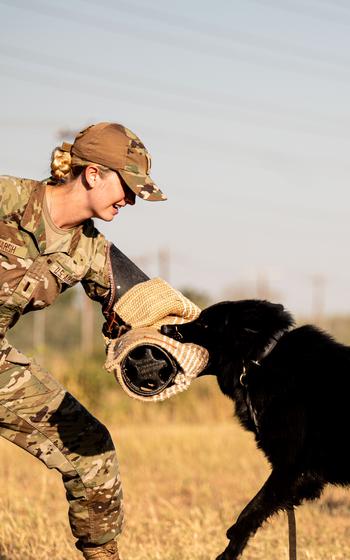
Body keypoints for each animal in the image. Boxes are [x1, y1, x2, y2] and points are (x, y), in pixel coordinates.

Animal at [162, 302, 350, 560]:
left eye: (205, 323)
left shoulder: (293, 468)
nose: (164, 327)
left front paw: (230, 546)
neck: (259, 362)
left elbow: (252, 509)